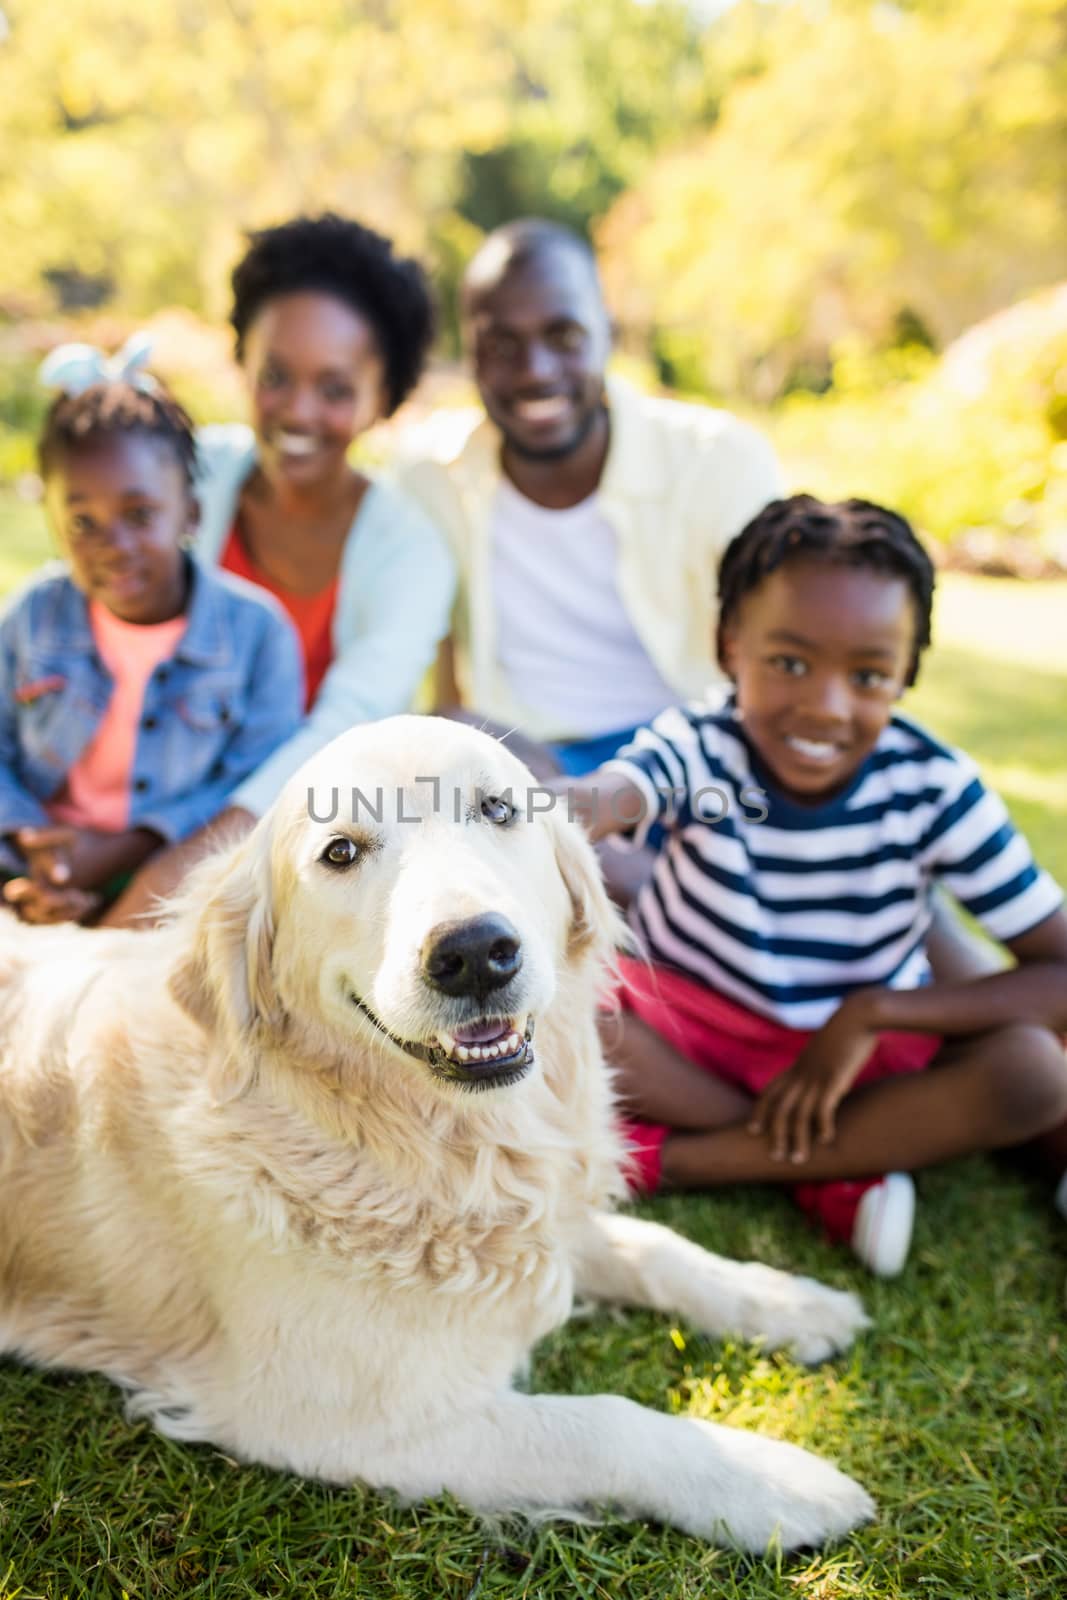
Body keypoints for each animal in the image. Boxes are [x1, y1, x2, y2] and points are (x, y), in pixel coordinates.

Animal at [0, 716, 876, 1548]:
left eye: (497, 810)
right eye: (340, 851)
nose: (475, 953)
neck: (427, 1144)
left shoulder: (537, 1215)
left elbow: (655, 1249)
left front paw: (786, 1300)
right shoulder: (340, 1417)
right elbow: (601, 1423)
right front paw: (771, 1482)